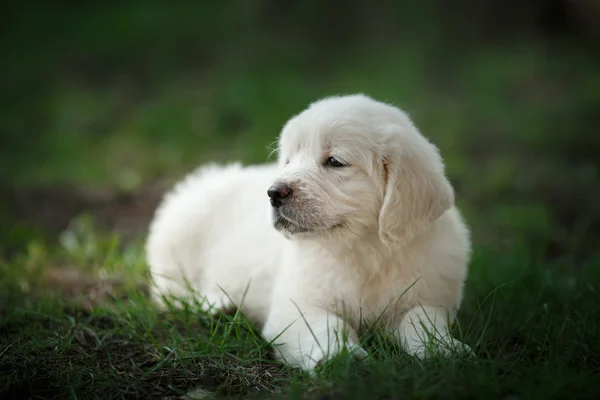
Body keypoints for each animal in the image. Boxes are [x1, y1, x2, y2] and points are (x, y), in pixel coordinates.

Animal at [146, 94, 474, 372]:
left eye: (335, 161)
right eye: (288, 160)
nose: (273, 193)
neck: (364, 250)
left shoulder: (430, 296)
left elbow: (422, 321)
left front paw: (444, 350)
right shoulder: (295, 307)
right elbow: (327, 325)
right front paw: (340, 357)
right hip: (179, 240)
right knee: (171, 292)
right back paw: (217, 306)